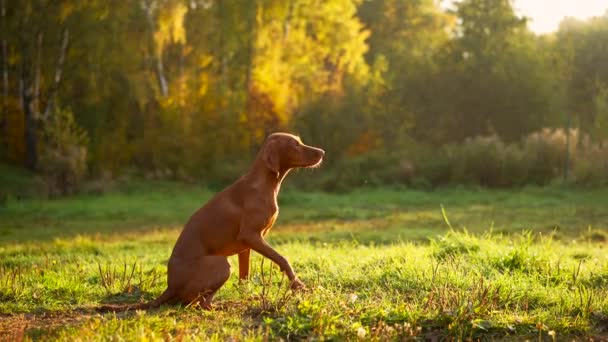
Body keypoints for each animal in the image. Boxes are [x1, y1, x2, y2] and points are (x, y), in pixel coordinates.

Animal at [139, 132, 324, 308]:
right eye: (295, 144)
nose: (322, 152)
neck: (265, 184)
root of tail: (170, 286)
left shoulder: (247, 245)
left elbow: (245, 276)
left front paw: (247, 296)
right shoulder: (251, 235)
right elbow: (283, 259)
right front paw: (299, 286)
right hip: (222, 263)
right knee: (199, 303)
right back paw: (222, 304)